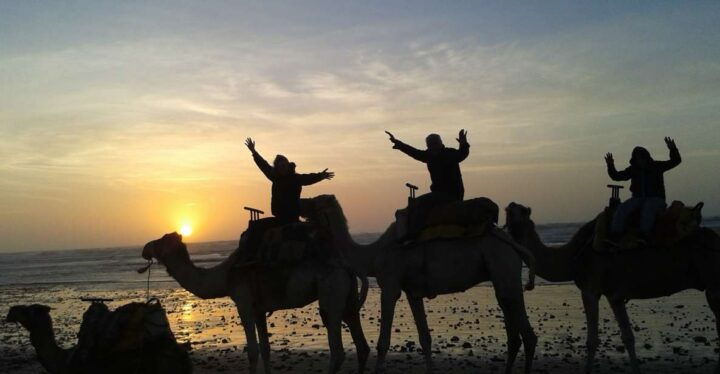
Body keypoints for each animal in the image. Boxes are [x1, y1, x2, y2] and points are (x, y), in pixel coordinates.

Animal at [144, 232, 374, 372]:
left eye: (161, 239)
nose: (145, 248)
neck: (226, 276)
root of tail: (347, 267)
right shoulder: (259, 311)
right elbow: (266, 349)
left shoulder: (244, 303)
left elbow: (253, 351)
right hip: (348, 299)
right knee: (361, 344)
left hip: (331, 293)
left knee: (337, 350)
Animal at [300, 194, 536, 374]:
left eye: (315, 201)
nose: (301, 202)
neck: (373, 255)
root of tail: (512, 244)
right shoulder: (412, 292)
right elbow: (425, 338)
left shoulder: (390, 285)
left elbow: (383, 342)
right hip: (502, 275)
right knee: (513, 327)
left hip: (503, 266)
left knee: (528, 334)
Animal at [504, 202, 720, 374]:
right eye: (511, 209)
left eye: (521, 210)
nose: (510, 205)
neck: (572, 258)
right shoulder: (614, 296)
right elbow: (628, 337)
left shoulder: (590, 289)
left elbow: (592, 341)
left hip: (713, 283)